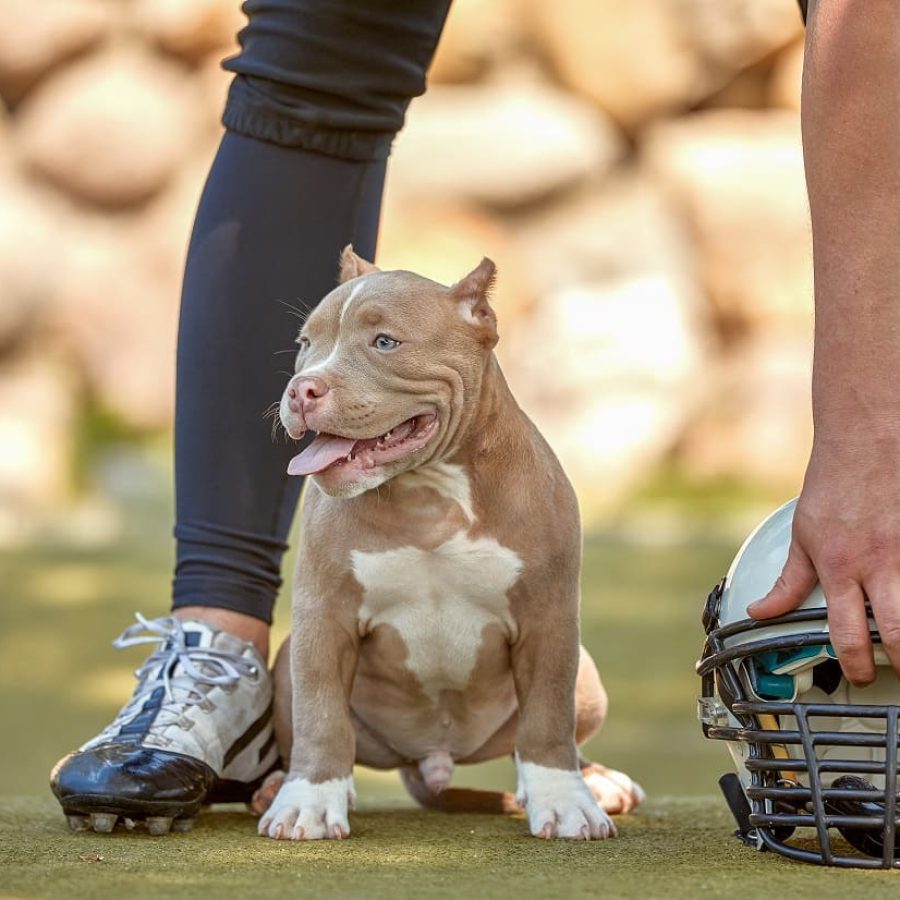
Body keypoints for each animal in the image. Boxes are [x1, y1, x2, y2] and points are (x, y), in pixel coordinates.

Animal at [256, 250, 644, 840]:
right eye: (305, 343)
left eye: (385, 342)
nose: (302, 389)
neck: (429, 491)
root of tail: (432, 761)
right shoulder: (325, 615)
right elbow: (321, 715)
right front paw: (310, 801)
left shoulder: (549, 617)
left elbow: (548, 719)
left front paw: (563, 800)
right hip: (284, 663)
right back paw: (282, 785)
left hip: (587, 672)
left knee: (542, 737)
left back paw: (597, 782)